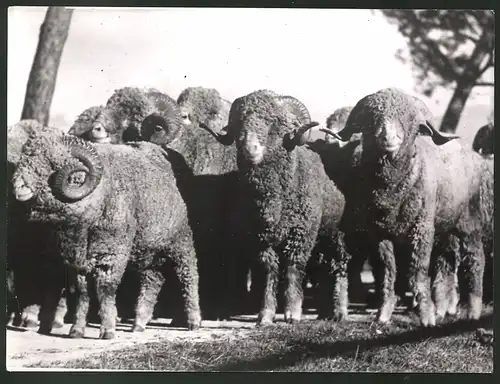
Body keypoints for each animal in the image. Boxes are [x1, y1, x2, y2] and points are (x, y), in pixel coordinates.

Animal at [11, 127, 200, 338]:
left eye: (52, 161)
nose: (18, 187)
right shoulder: (79, 261)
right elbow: (83, 293)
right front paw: (77, 329)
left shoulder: (112, 253)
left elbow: (105, 289)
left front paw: (108, 329)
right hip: (149, 248)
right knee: (153, 280)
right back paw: (139, 323)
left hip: (180, 239)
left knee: (188, 275)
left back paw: (194, 321)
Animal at [196, 90, 348, 324]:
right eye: (239, 122)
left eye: (274, 121)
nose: (249, 148)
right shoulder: (261, 239)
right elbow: (269, 272)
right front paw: (266, 315)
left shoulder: (300, 235)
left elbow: (293, 270)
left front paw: (293, 313)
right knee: (323, 267)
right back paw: (325, 312)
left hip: (335, 233)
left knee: (339, 265)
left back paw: (340, 311)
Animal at [312, 88, 492, 326]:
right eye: (372, 119)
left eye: (410, 120)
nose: (388, 138)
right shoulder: (381, 234)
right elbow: (388, 272)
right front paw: (383, 314)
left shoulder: (421, 229)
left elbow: (418, 271)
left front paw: (426, 315)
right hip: (445, 228)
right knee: (446, 264)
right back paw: (442, 309)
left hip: (470, 223)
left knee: (475, 260)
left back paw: (472, 310)